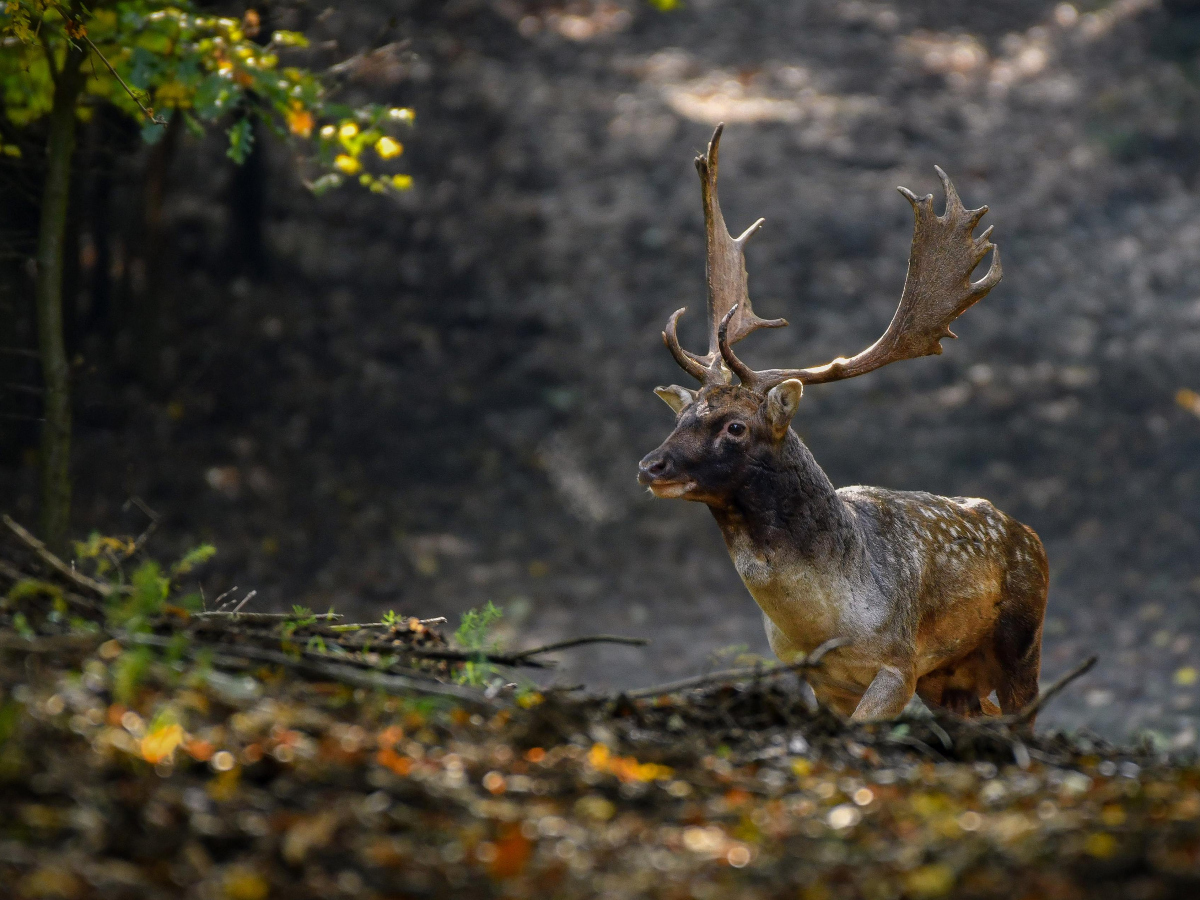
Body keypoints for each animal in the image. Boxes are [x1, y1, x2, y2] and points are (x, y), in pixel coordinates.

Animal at [638, 123, 1051, 724]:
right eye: (685, 414)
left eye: (736, 427)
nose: (651, 466)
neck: (825, 622)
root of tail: (1030, 534)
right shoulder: (819, 679)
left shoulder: (898, 663)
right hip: (951, 680)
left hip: (1023, 640)